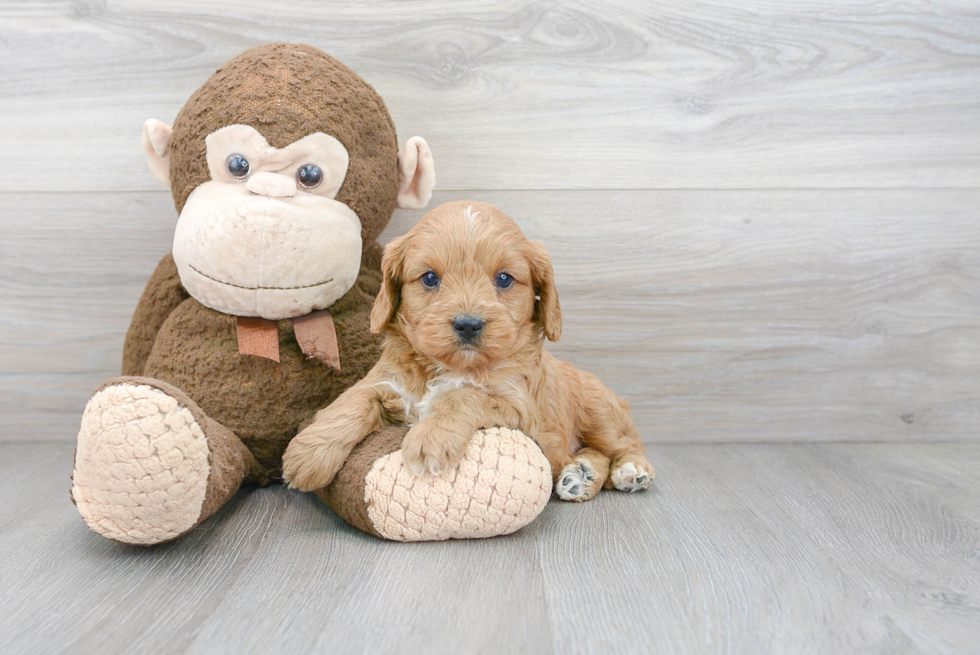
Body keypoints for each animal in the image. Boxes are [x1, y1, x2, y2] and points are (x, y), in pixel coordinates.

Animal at [280, 200, 656, 502]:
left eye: (504, 279)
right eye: (429, 278)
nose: (468, 324)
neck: (450, 367)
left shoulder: (521, 410)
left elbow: (464, 396)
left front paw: (429, 438)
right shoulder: (385, 381)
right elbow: (352, 401)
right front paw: (308, 453)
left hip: (600, 411)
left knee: (624, 444)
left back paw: (631, 471)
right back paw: (580, 475)